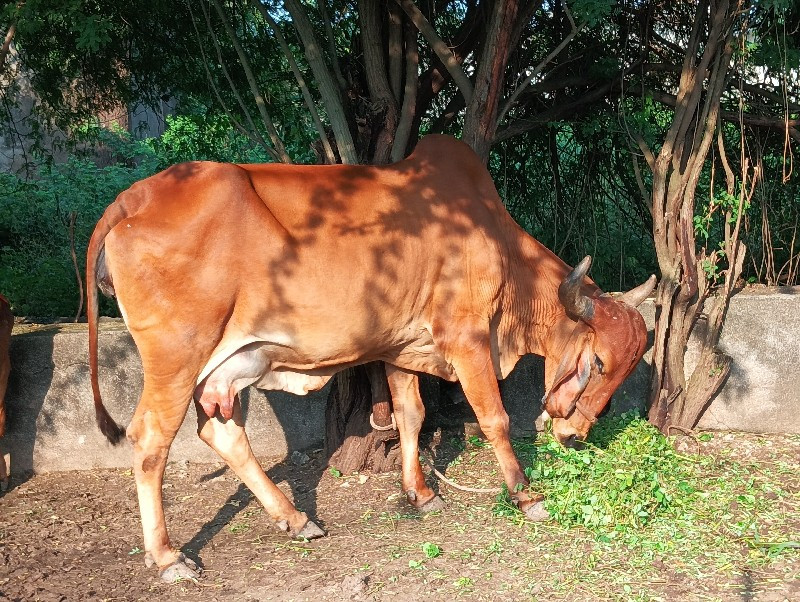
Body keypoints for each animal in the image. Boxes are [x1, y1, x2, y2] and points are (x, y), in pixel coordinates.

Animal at [86, 134, 656, 580]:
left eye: (629, 367)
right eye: (599, 363)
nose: (575, 435)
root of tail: (134, 198)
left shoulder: (404, 347)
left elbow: (411, 415)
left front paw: (420, 493)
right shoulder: (467, 339)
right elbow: (495, 417)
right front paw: (525, 496)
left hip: (231, 367)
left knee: (223, 434)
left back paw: (296, 519)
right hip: (178, 355)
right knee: (150, 440)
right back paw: (167, 557)